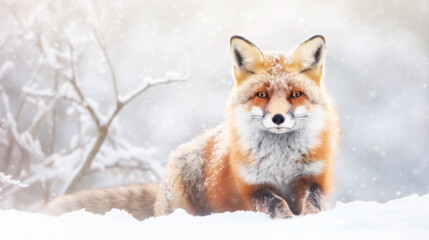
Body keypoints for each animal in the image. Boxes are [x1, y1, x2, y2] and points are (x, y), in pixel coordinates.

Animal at [42, 34, 338, 220]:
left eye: (295, 94)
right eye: (262, 95)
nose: (278, 118)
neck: (281, 162)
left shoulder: (314, 177)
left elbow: (313, 201)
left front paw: (312, 221)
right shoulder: (251, 187)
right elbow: (275, 202)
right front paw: (287, 219)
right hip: (185, 175)